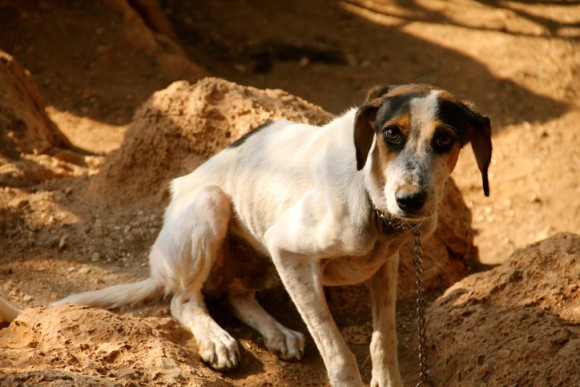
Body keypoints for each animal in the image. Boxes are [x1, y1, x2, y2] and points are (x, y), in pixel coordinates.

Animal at [0, 85, 492, 387]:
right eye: (390, 134)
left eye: (445, 139)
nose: (411, 201)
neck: (372, 199)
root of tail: (158, 266)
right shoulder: (288, 250)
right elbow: (338, 351)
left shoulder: (384, 265)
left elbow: (383, 339)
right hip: (211, 209)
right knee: (184, 300)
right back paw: (215, 339)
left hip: (257, 253)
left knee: (237, 294)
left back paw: (278, 333)